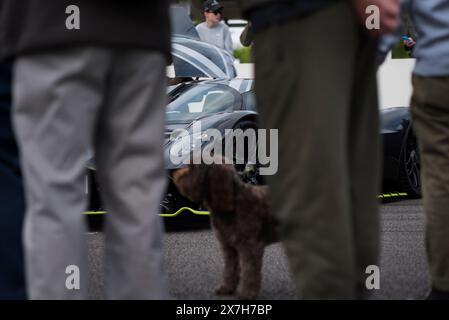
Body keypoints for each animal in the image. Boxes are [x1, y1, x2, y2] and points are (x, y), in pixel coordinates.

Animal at [172, 160, 276, 300]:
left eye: (194, 168)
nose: (176, 175)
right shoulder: (230, 246)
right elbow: (231, 269)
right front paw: (227, 288)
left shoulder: (251, 247)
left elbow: (249, 271)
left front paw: (247, 293)